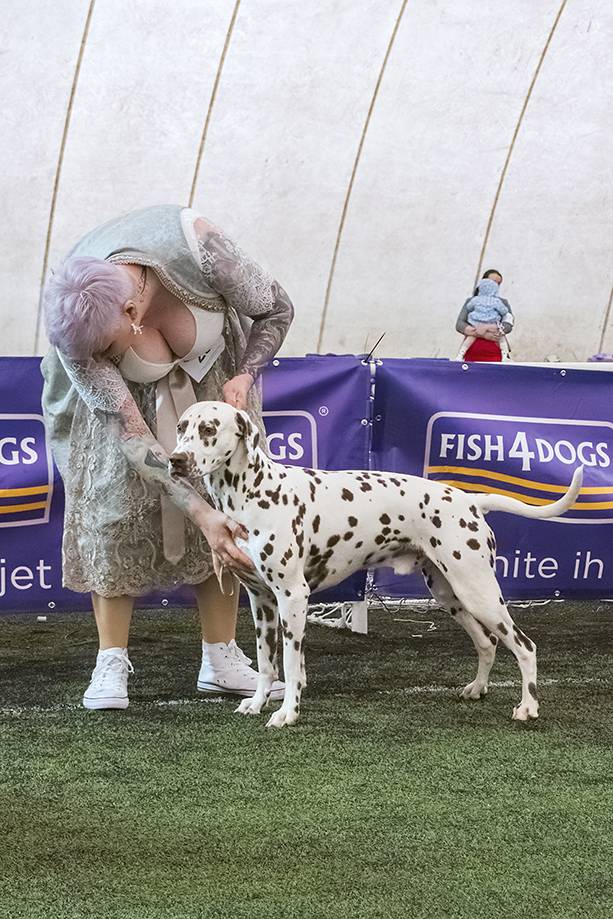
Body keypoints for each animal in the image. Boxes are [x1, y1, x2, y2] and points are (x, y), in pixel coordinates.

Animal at [169, 398, 584, 728]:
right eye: (180, 427)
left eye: (209, 428)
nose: (175, 460)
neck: (254, 492)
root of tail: (470, 500)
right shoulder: (262, 602)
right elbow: (266, 663)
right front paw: (256, 704)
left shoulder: (292, 597)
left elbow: (288, 663)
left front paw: (287, 713)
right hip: (451, 595)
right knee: (487, 643)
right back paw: (477, 688)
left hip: (478, 592)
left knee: (524, 647)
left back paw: (528, 707)